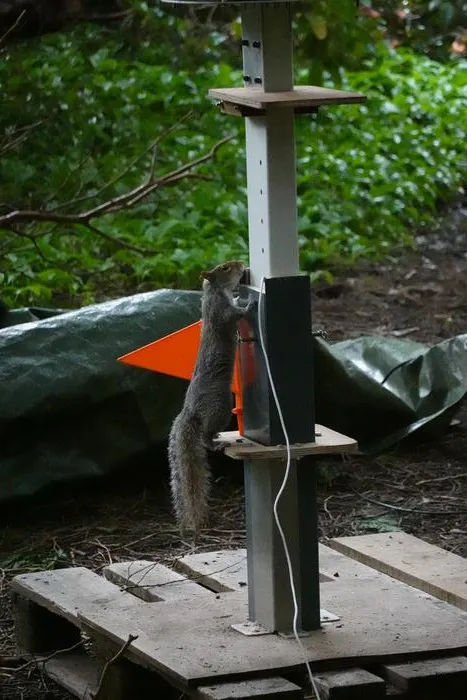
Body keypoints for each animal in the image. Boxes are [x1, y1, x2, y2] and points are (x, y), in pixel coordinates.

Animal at [168, 260, 253, 537]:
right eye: (225, 268)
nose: (241, 264)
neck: (214, 293)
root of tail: (190, 412)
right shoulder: (220, 312)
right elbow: (233, 315)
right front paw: (247, 304)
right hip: (220, 407)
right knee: (205, 437)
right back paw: (215, 442)